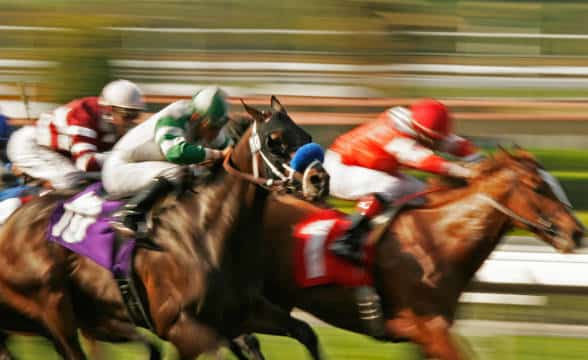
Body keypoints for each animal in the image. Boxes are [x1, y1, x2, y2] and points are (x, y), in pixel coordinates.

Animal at [0, 96, 322, 360]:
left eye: (306, 135)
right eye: (273, 140)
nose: (318, 179)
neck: (207, 231)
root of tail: (12, 223)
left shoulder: (242, 312)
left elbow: (305, 333)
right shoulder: (181, 326)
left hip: (94, 315)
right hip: (54, 308)